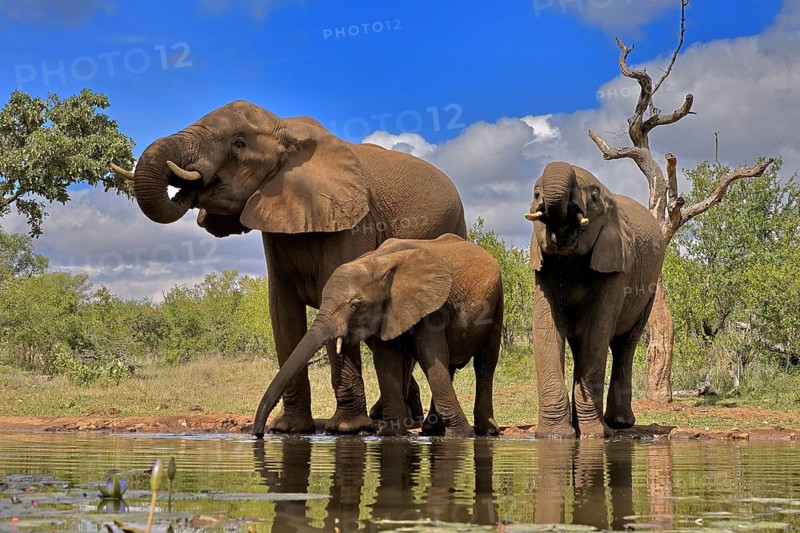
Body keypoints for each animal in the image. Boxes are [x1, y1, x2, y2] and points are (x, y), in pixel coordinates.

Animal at [111, 100, 466, 434]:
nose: (189, 188)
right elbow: (282, 312)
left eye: (239, 143)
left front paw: (346, 428)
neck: (288, 129)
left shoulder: (355, 222)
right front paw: (288, 428)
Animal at [251, 234, 504, 438]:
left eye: (355, 304)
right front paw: (392, 433)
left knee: (485, 364)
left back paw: (487, 431)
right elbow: (386, 360)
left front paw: (462, 436)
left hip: (497, 301)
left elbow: (430, 354)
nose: (259, 433)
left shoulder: (432, 305)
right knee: (451, 365)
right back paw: (432, 429)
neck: (377, 262)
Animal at [526, 161, 665, 438]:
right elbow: (547, 330)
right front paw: (555, 436)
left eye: (593, 197)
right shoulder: (543, 267)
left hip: (649, 292)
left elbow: (596, 333)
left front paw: (594, 435)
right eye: (535, 194)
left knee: (624, 345)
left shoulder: (616, 264)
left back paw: (619, 423)